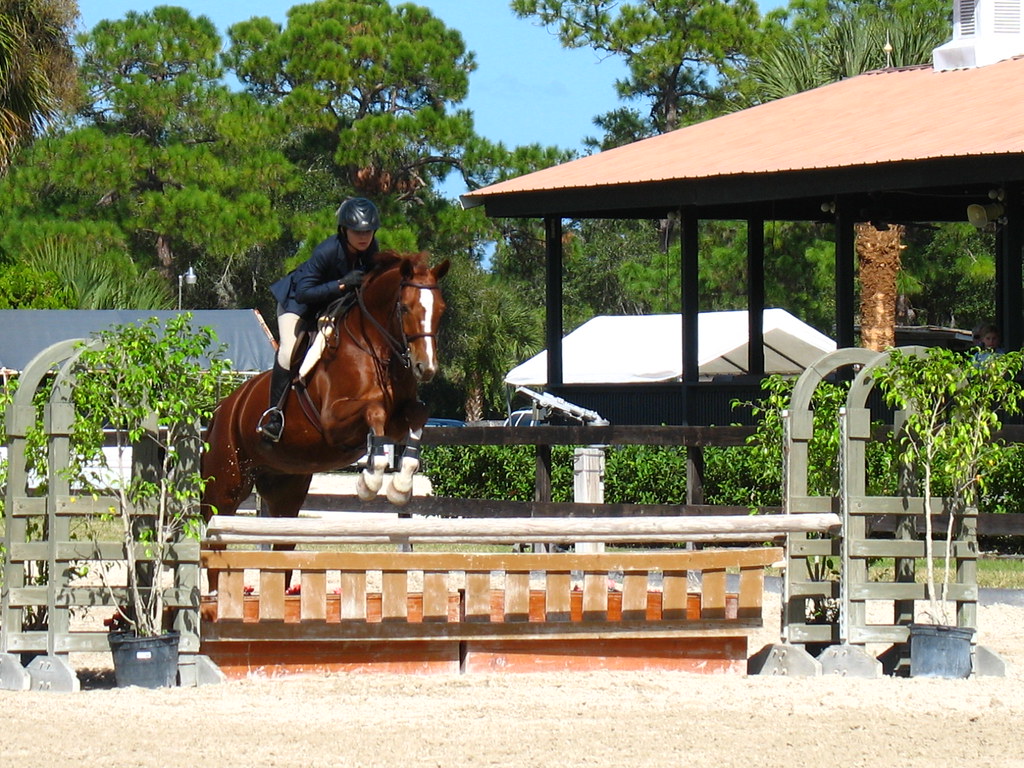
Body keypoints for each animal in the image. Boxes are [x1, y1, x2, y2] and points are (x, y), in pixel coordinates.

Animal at [200, 251, 450, 523]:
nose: (426, 368)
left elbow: (418, 414)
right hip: (223, 486)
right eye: (404, 308)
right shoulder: (333, 422)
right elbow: (375, 411)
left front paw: (401, 487)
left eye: (441, 310)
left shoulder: (398, 418)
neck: (374, 349)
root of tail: (221, 410)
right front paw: (369, 482)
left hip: (284, 485)